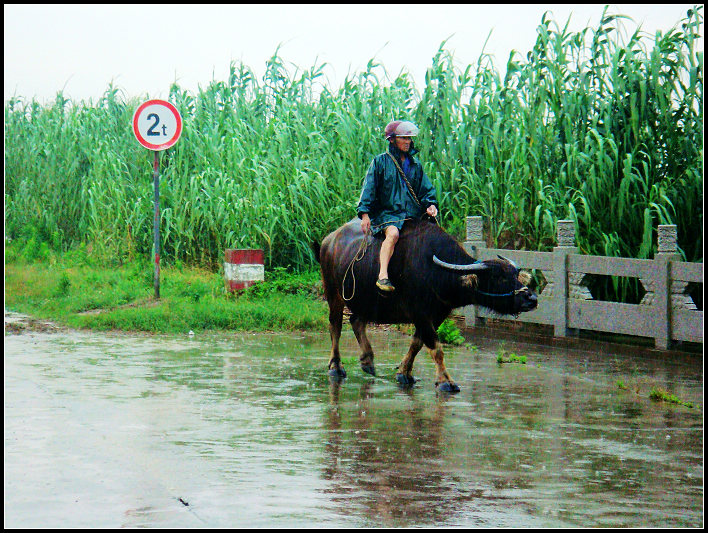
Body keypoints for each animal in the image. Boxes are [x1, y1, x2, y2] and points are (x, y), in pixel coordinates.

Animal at [316, 215, 536, 390]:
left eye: (515, 274)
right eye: (499, 277)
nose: (531, 298)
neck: (435, 272)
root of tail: (328, 240)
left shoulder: (438, 315)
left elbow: (418, 343)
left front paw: (404, 373)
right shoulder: (420, 313)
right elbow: (436, 348)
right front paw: (446, 381)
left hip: (367, 300)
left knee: (356, 321)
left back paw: (368, 361)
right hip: (333, 293)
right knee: (335, 325)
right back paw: (336, 367)